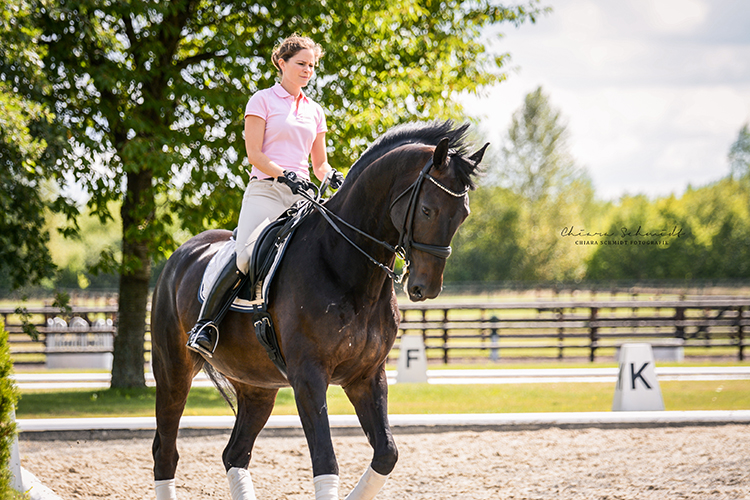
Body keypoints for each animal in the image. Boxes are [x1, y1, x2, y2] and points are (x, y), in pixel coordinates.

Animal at [150, 120, 488, 500]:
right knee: (166, 450)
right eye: (428, 209)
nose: (424, 287)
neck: (344, 263)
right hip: (173, 370)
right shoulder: (308, 376)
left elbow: (387, 453)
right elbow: (326, 461)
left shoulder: (366, 376)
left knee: (235, 453)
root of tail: (182, 253)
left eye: (463, 215)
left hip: (257, 385)